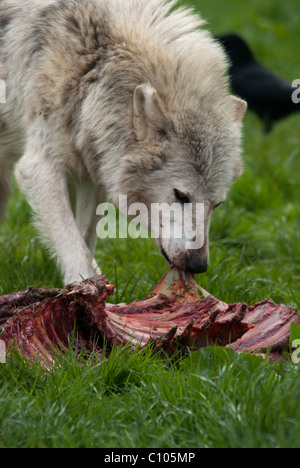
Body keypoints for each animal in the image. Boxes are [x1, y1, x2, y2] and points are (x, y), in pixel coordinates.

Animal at [0, 0, 246, 284]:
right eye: (181, 196)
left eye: (217, 204)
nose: (198, 265)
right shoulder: (40, 168)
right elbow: (74, 246)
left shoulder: (93, 174)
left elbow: (85, 238)